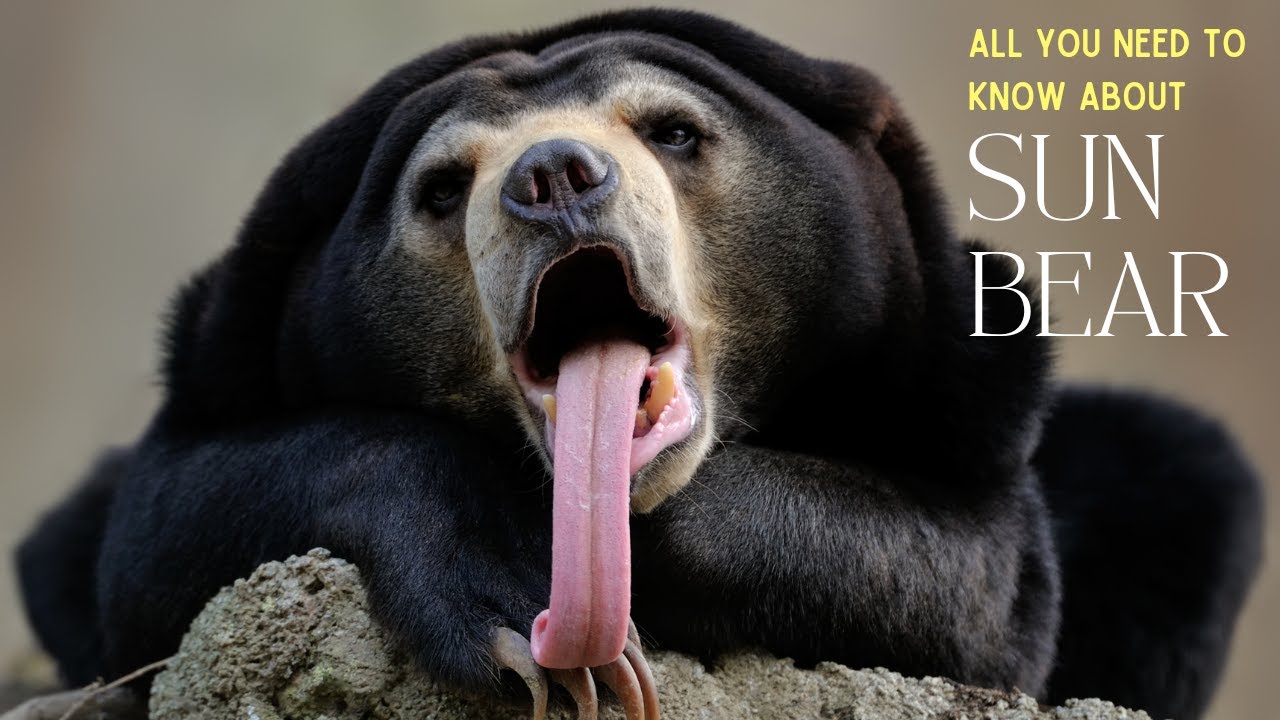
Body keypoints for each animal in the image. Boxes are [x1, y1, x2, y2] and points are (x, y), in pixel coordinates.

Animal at [14, 9, 1262, 720]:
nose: (553, 178)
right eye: (440, 187)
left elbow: (973, 579)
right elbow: (154, 533)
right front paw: (511, 621)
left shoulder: (959, 385)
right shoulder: (220, 372)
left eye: (671, 131)